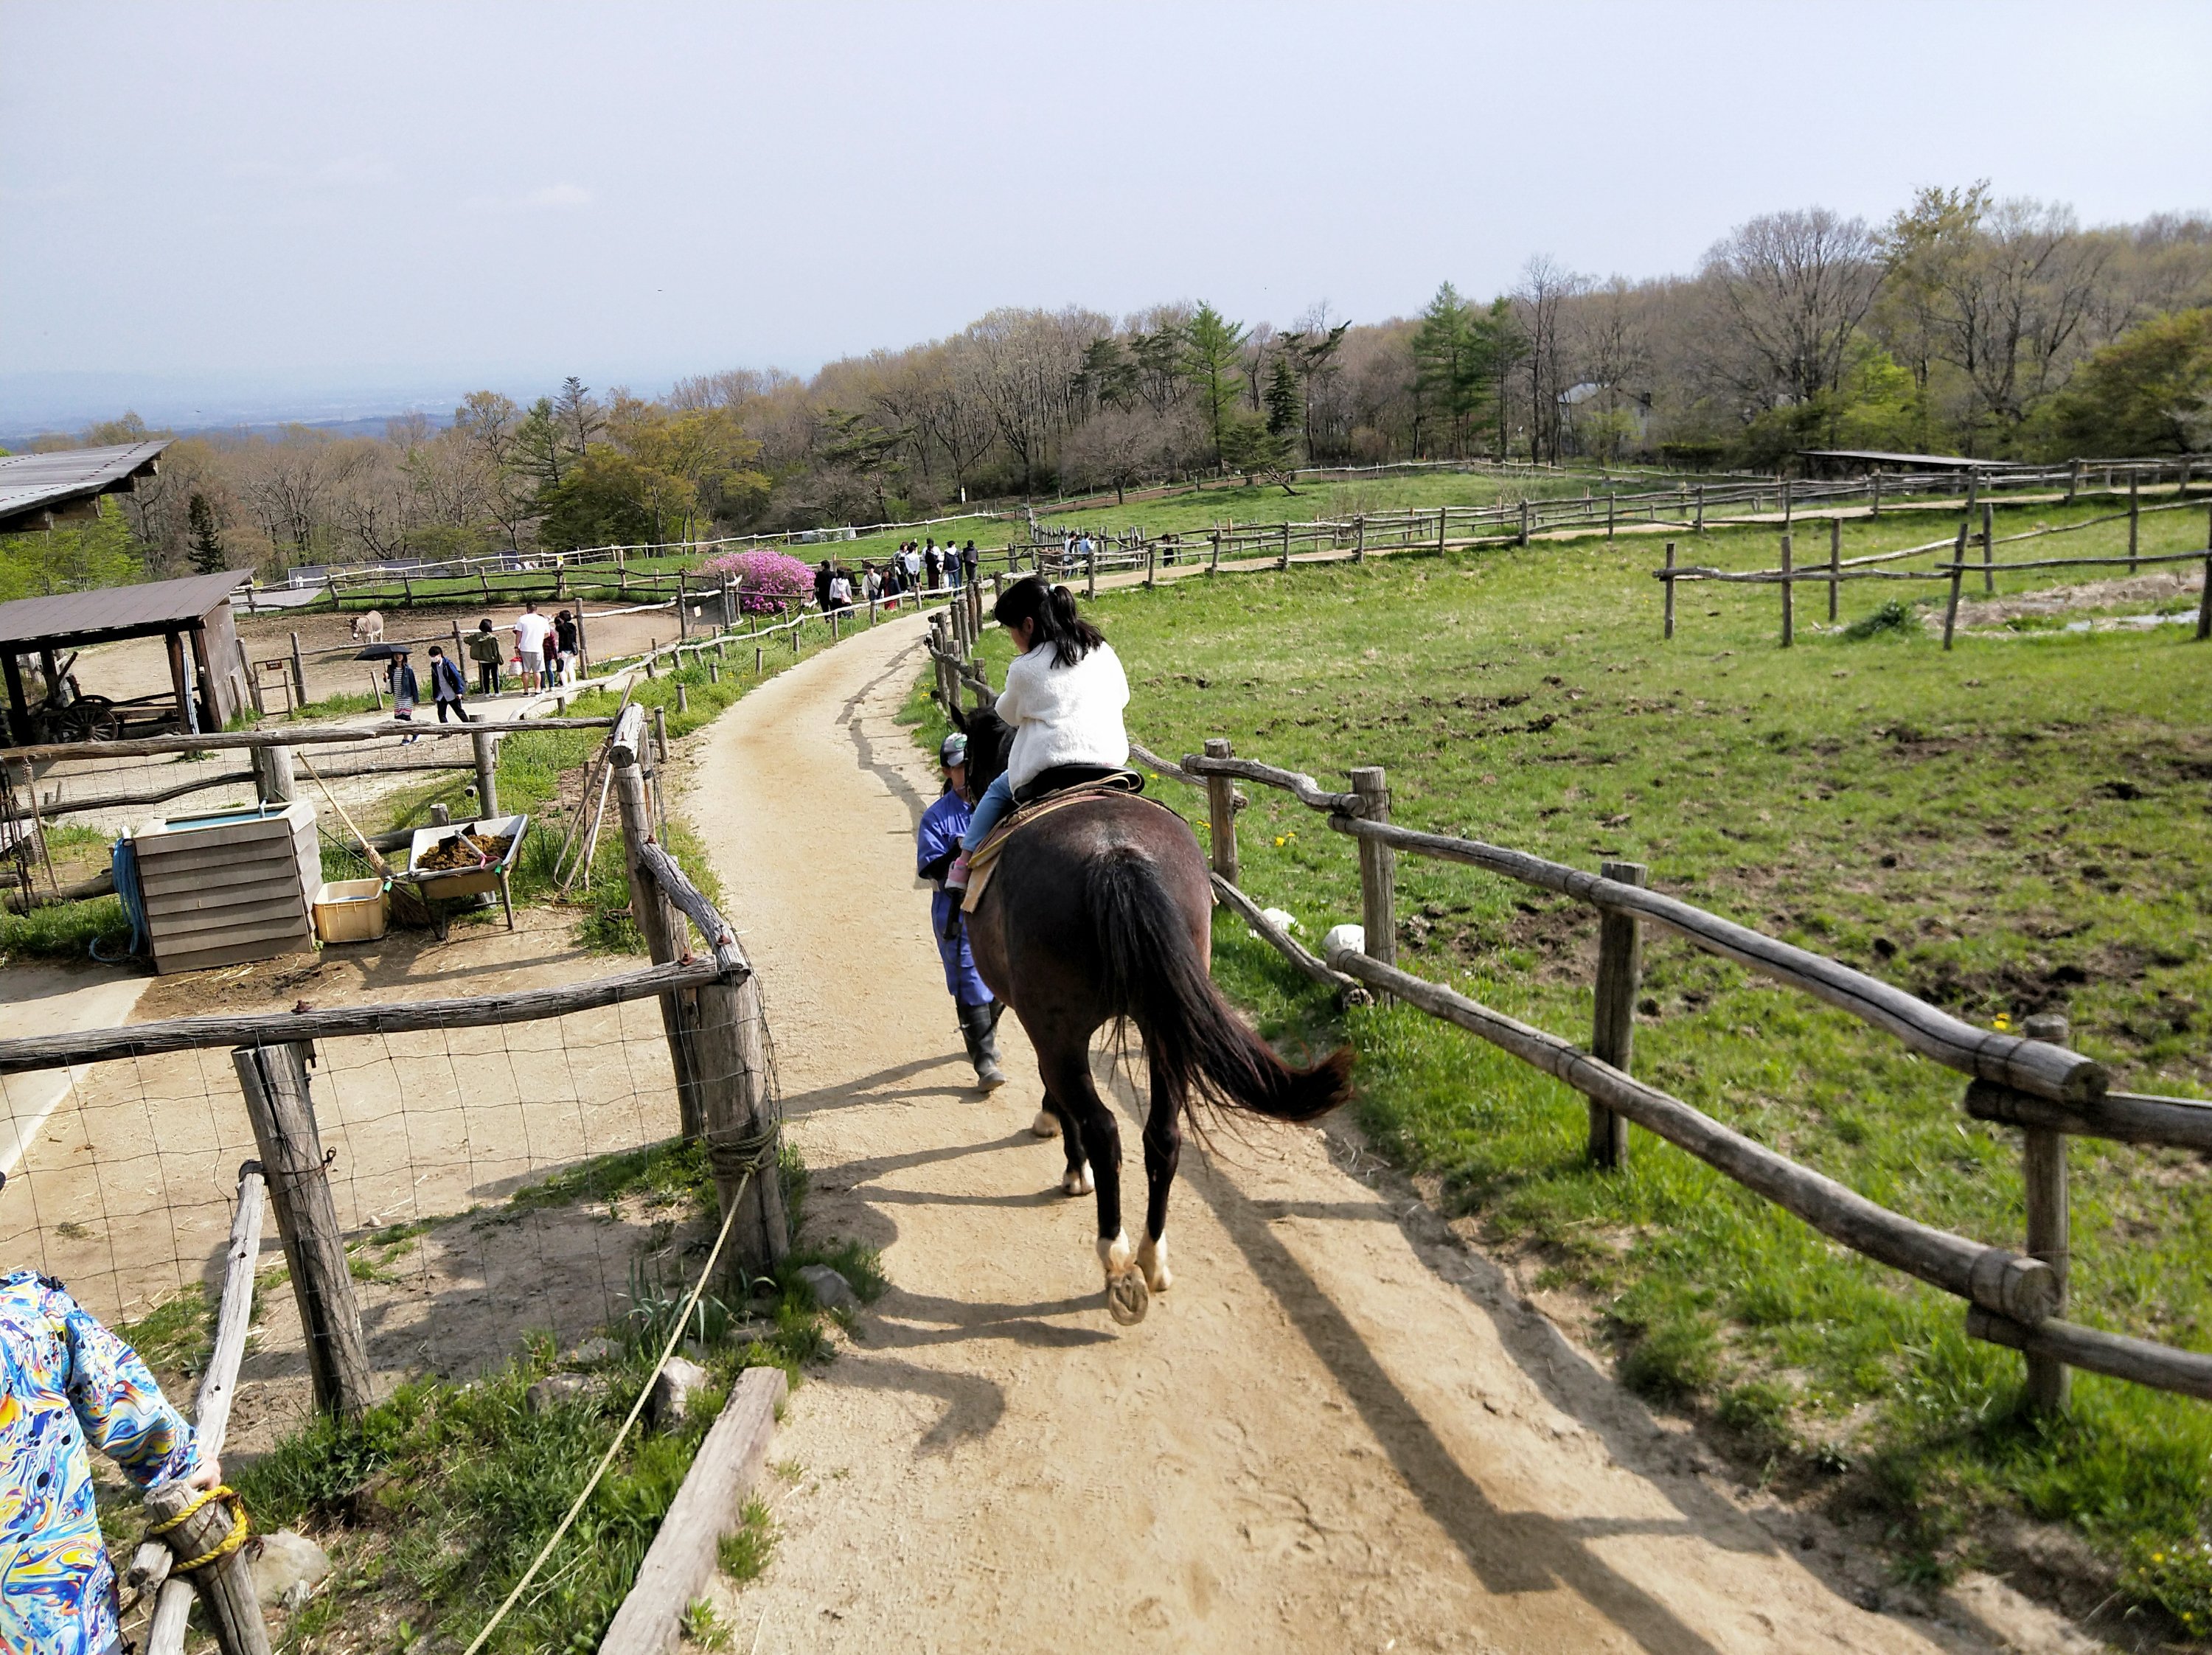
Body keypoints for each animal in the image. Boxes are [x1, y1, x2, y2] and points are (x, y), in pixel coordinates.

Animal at [948, 704, 1353, 1324]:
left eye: (971, 754)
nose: (967, 792)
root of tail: (1117, 855)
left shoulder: (1040, 1024)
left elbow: (1059, 1096)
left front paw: (1064, 1153)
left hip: (1062, 1030)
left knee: (1104, 1128)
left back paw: (1116, 1259)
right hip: (1166, 1027)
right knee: (1163, 1134)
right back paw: (1152, 1256)